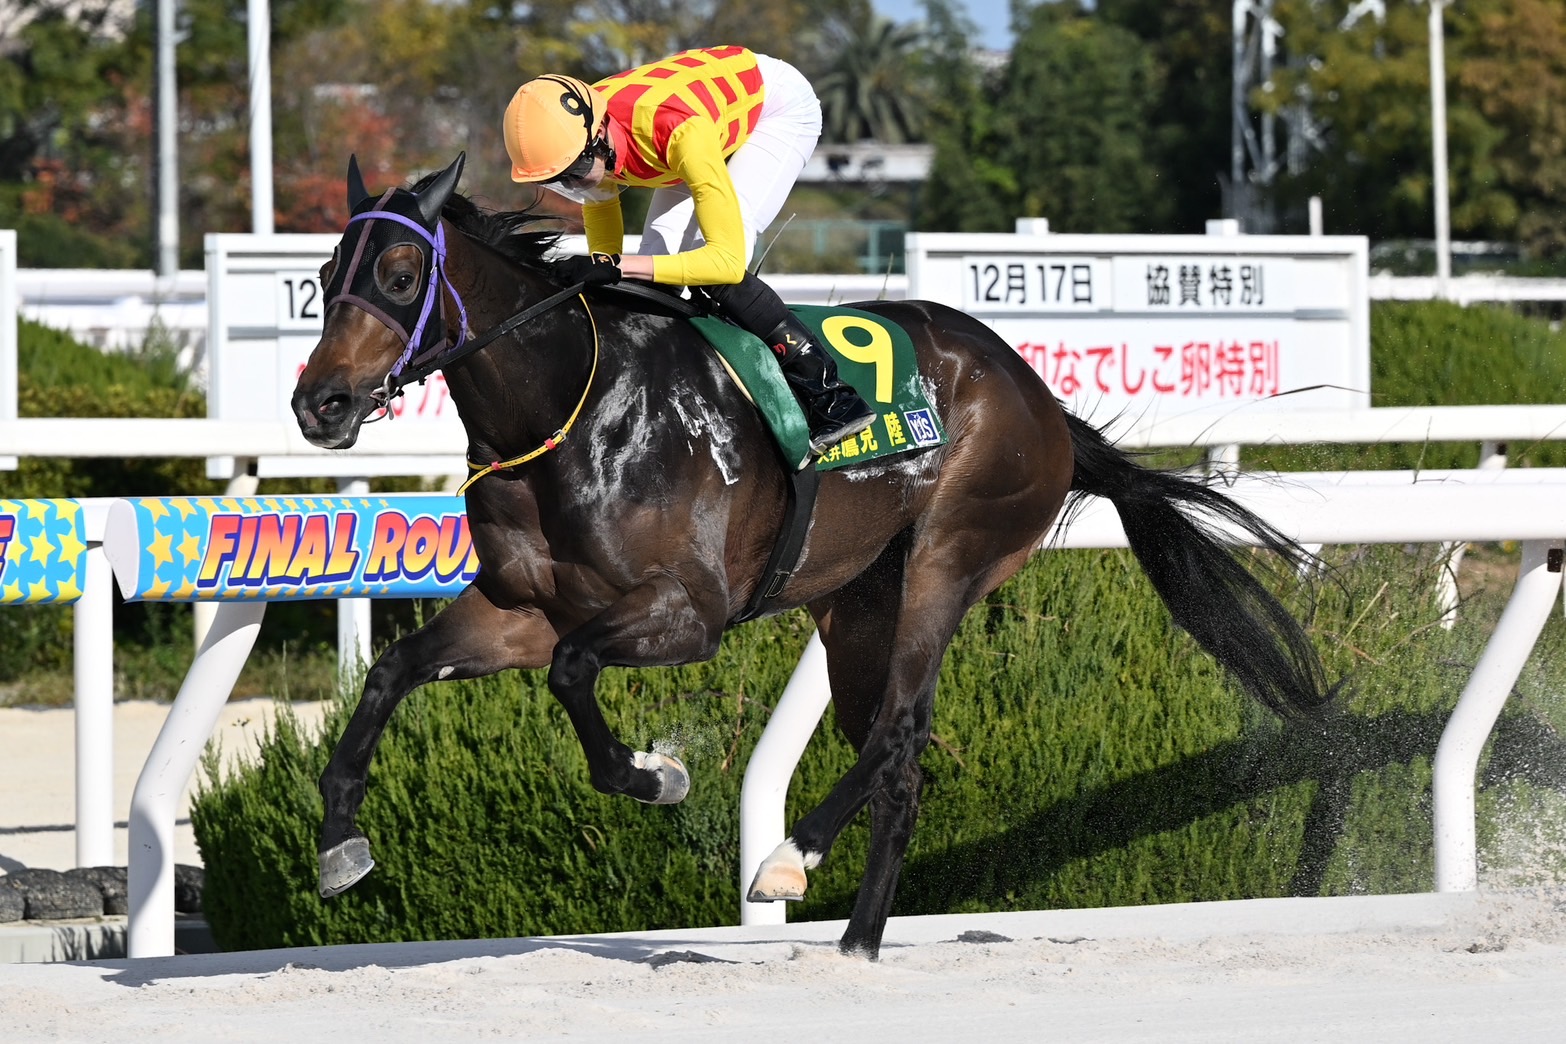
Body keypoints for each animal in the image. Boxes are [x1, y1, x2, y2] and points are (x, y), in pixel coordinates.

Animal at [290, 152, 1333, 959]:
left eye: (398, 273)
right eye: (327, 270)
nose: (319, 405)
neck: (572, 407)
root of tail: (1037, 395)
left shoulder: (689, 612)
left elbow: (575, 672)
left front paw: (655, 773)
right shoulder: (521, 607)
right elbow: (393, 671)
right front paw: (341, 844)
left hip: (951, 555)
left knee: (902, 727)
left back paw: (791, 858)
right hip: (859, 605)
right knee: (901, 765)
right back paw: (857, 944)